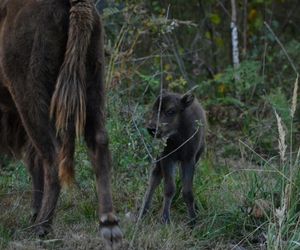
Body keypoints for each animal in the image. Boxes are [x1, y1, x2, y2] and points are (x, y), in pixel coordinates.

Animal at [0, 0, 122, 247]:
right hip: (93, 80)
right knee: (98, 142)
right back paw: (109, 225)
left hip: (31, 95)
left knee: (52, 156)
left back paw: (41, 227)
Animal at [141, 90, 206, 225]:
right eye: (154, 109)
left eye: (170, 111)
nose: (151, 128)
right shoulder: (167, 158)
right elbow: (169, 188)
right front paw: (165, 219)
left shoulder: (189, 159)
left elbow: (187, 191)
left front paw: (193, 221)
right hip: (159, 160)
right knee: (154, 180)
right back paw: (142, 214)